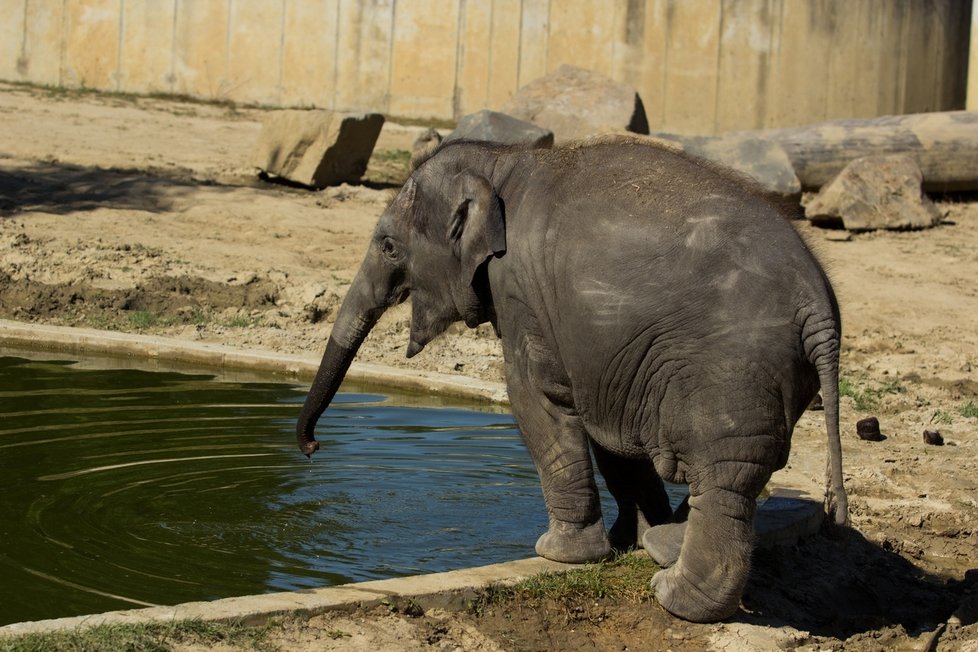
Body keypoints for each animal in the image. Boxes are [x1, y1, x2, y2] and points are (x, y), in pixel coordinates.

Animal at [296, 136, 848, 620]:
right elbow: (607, 428)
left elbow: (534, 397)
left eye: (389, 247)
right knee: (742, 471)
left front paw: (558, 553)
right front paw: (627, 540)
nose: (312, 447)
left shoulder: (520, 288)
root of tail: (819, 310)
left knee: (724, 478)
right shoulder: (607, 354)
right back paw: (662, 544)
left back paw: (674, 597)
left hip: (729, 373)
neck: (502, 160)